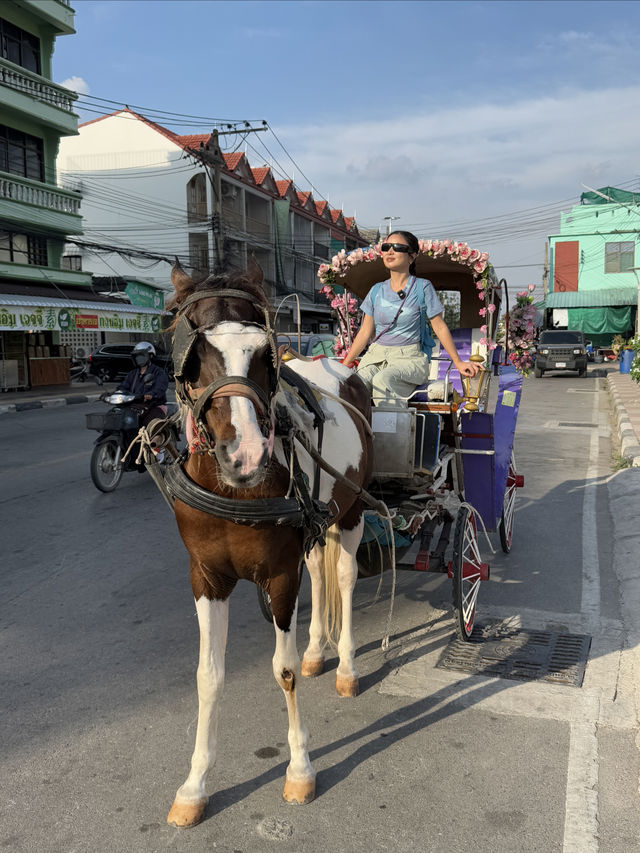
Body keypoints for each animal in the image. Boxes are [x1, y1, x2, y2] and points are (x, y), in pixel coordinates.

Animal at [166, 260, 376, 824]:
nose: (245, 454)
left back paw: (345, 664)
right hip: (316, 526)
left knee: (343, 575)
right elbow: (207, 676)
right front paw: (195, 784)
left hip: (352, 509)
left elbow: (282, 670)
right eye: (194, 355)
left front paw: (299, 768)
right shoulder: (205, 577)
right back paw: (318, 650)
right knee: (320, 575)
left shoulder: (280, 574)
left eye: (265, 353)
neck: (232, 489)